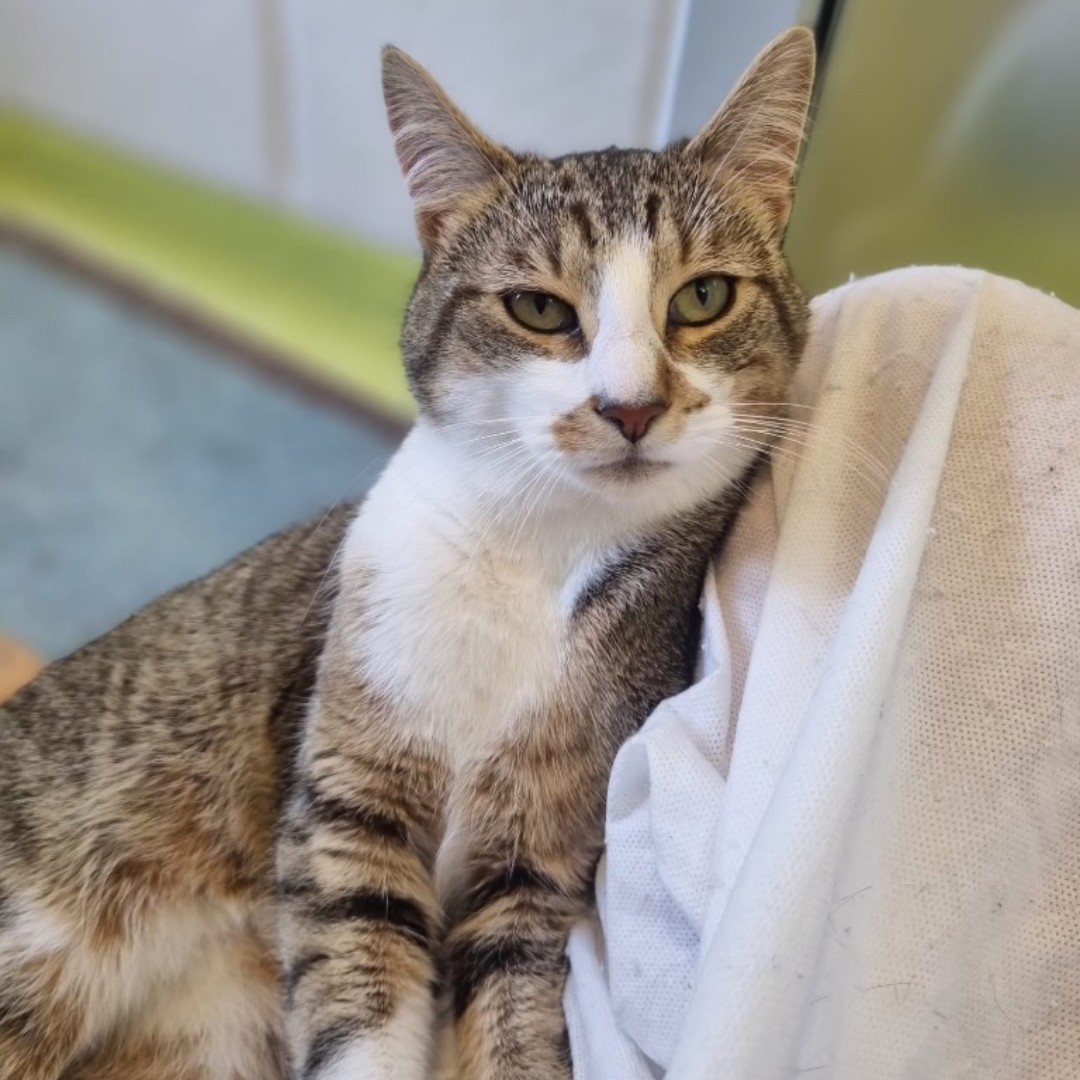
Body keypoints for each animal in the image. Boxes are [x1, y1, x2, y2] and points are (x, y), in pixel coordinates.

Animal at [0, 27, 812, 1080]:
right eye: (538, 310)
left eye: (704, 296)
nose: (630, 407)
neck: (532, 550)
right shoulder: (348, 810)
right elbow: (360, 990)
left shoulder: (534, 870)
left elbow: (513, 1016)